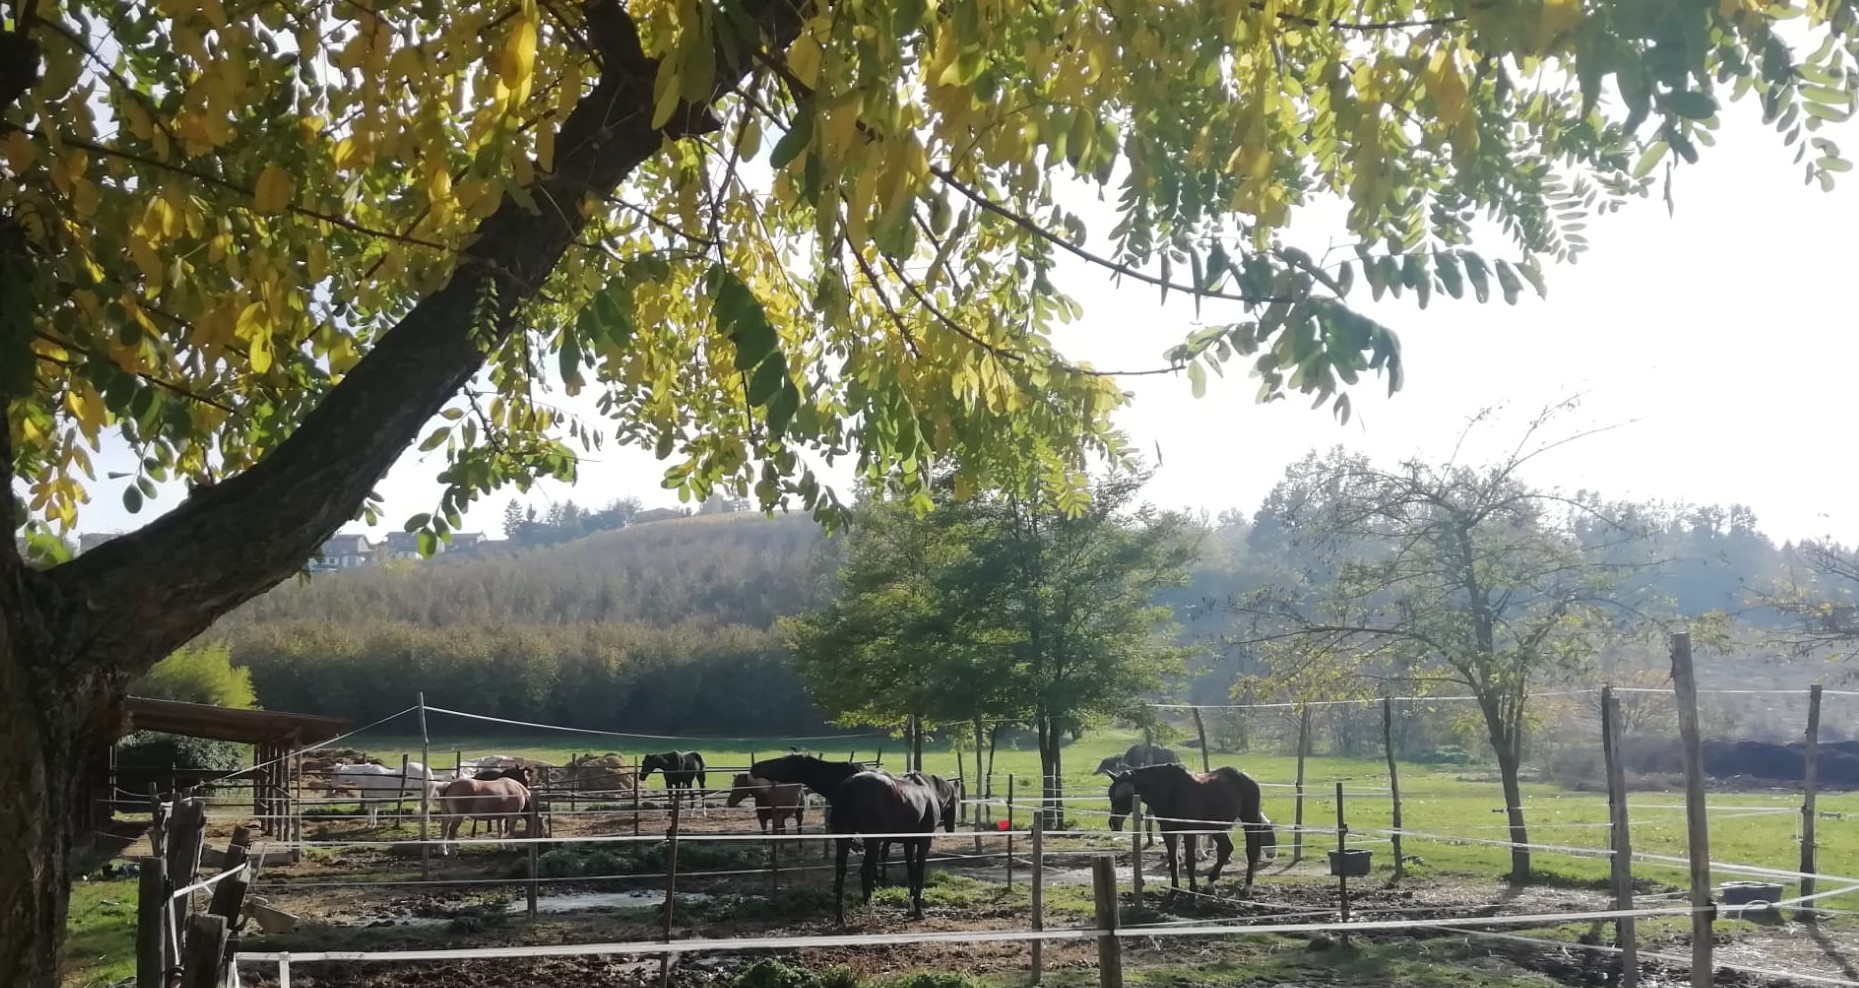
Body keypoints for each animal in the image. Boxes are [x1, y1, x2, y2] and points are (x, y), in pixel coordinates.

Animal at [828, 771, 943, 923]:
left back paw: (840, 918)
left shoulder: (908, 843)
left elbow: (911, 871)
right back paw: (872, 914)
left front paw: (911, 908)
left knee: (841, 871)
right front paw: (918, 911)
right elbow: (919, 873)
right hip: (873, 841)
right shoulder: (924, 842)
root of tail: (848, 786)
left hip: (844, 838)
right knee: (865, 871)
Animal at [1106, 763, 1276, 893]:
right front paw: (1174, 890)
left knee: (1250, 852)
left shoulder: (1189, 831)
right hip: (1217, 828)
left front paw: (1192, 891)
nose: (1113, 823)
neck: (1171, 791)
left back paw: (1247, 887)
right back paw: (1210, 884)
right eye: (1110, 794)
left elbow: (1190, 861)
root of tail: (1247, 779)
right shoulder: (1169, 832)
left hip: (1248, 822)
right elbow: (1174, 861)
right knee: (1226, 848)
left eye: (1124, 795)